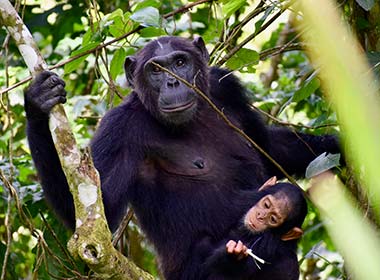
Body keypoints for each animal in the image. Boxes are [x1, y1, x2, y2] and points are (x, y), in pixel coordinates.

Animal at [23, 36, 338, 278]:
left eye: (179, 63)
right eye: (156, 70)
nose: (172, 83)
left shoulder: (225, 85)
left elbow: (267, 150)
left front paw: (338, 146)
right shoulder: (119, 129)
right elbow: (95, 216)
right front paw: (38, 104)